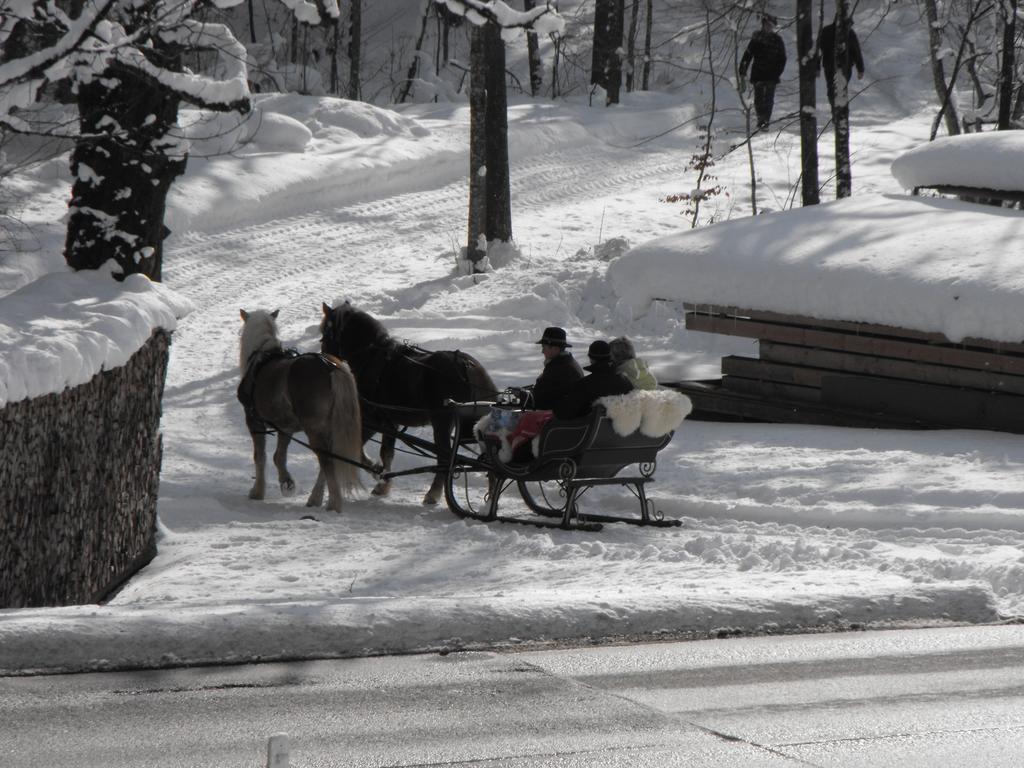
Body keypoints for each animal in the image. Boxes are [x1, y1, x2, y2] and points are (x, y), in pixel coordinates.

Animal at [238, 309, 364, 514]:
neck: (261, 360)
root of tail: (331, 367)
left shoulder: (254, 422)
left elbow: (260, 457)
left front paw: (257, 491)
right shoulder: (285, 427)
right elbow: (279, 456)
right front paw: (286, 483)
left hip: (314, 429)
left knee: (327, 461)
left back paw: (334, 503)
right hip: (329, 428)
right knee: (327, 461)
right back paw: (316, 499)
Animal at [317, 303, 497, 507]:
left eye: (325, 334)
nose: (323, 359)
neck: (371, 358)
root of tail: (467, 366)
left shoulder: (375, 419)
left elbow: (366, 450)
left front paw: (378, 475)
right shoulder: (389, 423)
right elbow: (385, 452)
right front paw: (381, 478)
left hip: (442, 423)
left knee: (444, 458)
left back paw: (433, 494)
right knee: (488, 460)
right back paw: (491, 499)